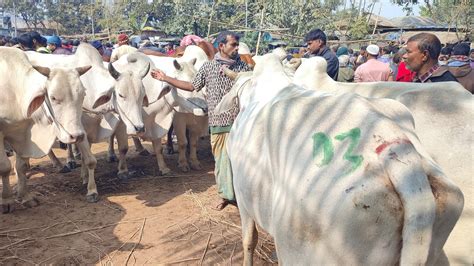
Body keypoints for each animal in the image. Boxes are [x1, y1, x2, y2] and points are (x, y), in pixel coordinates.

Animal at [0, 46, 92, 212]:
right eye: (53, 97)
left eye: (83, 94)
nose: (77, 136)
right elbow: (4, 167)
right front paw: (6, 201)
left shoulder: (22, 136)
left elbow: (21, 166)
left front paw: (25, 197)